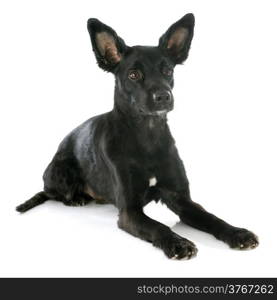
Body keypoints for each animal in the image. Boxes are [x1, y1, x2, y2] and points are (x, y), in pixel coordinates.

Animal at [16, 13, 258, 258]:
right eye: (133, 74)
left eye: (168, 71)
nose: (163, 96)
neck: (147, 135)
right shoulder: (129, 211)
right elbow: (158, 226)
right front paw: (178, 243)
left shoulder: (182, 200)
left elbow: (212, 218)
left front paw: (238, 233)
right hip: (61, 171)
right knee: (54, 193)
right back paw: (77, 198)